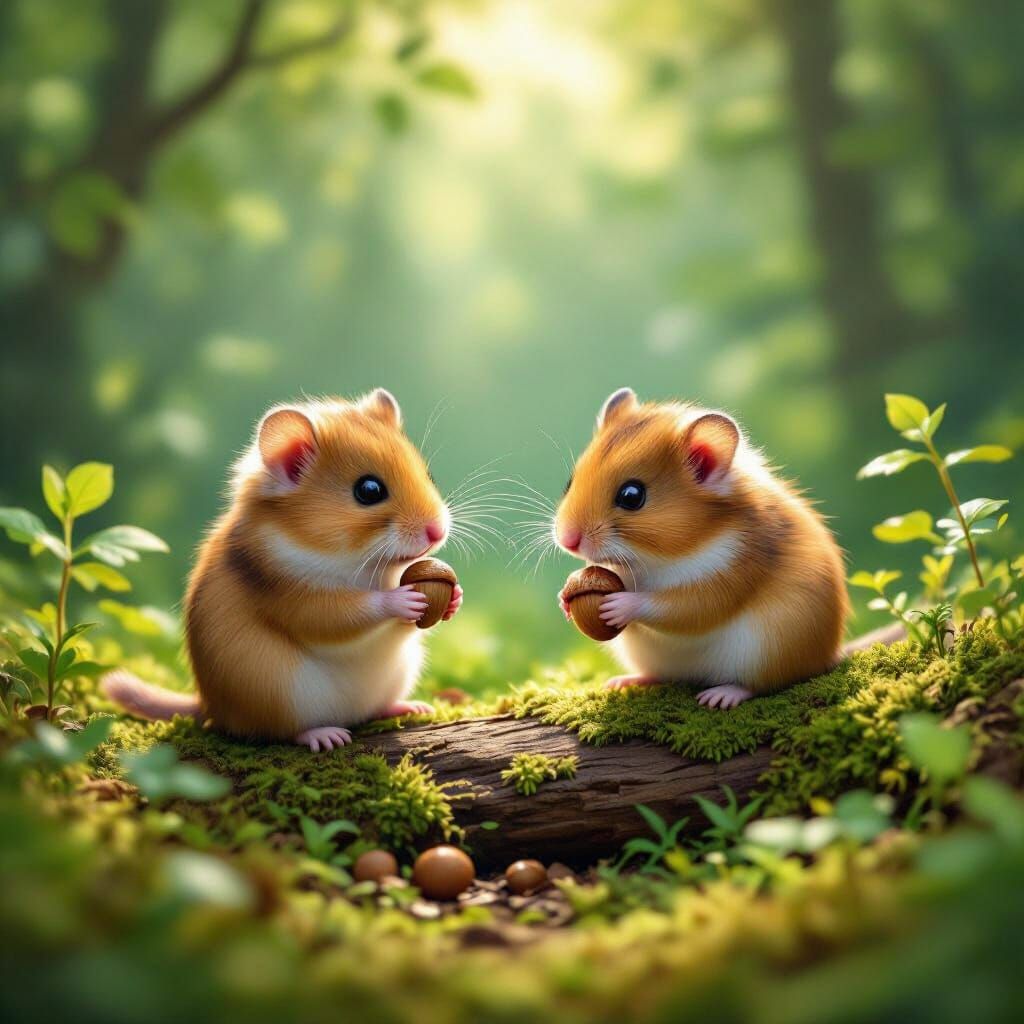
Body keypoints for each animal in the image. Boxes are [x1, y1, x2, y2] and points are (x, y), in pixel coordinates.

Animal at [103, 390, 463, 750]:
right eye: (369, 490)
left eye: (428, 474)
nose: (437, 532)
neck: (361, 560)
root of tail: (209, 708)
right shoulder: (291, 595)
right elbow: (347, 611)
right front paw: (403, 600)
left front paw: (454, 598)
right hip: (277, 693)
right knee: (283, 732)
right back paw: (327, 736)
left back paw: (411, 707)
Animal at [555, 388, 847, 708]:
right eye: (569, 482)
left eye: (632, 496)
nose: (567, 540)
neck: (653, 557)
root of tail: (828, 656)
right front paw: (564, 598)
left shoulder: (727, 577)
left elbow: (675, 606)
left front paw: (616, 605)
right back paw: (623, 682)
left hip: (771, 650)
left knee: (761, 684)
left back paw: (719, 696)